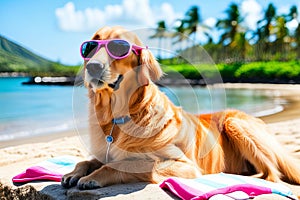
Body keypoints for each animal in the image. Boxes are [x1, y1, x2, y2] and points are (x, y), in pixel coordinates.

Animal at [61, 25, 300, 190]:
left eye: (119, 48)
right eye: (90, 47)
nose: (92, 67)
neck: (118, 117)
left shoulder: (184, 164)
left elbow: (125, 164)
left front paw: (92, 178)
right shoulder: (105, 152)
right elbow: (87, 160)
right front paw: (75, 172)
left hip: (236, 123)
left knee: (272, 172)